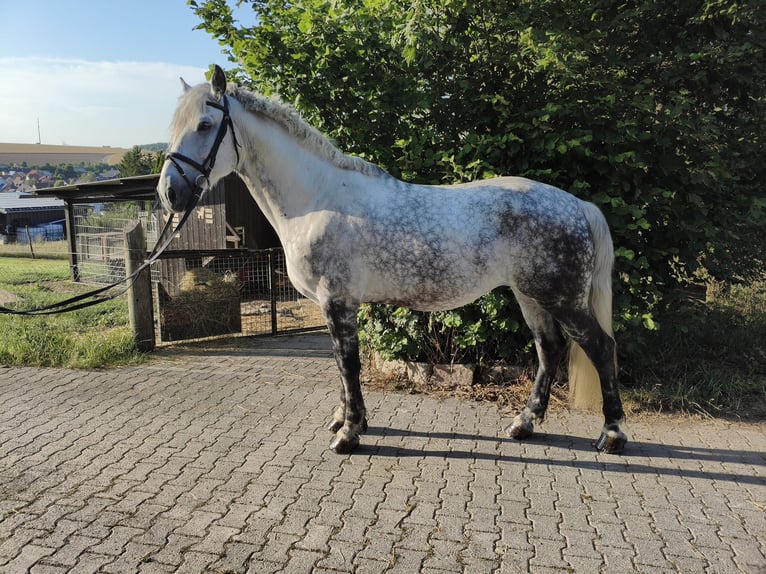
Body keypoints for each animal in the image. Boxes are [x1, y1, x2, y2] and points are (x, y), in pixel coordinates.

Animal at [158, 65, 628, 455]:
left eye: (205, 124)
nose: (170, 194)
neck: (317, 200)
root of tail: (576, 205)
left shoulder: (337, 302)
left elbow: (348, 364)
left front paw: (349, 433)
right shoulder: (333, 305)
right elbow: (339, 364)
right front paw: (344, 420)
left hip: (561, 299)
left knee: (602, 347)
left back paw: (611, 435)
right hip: (530, 296)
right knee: (549, 350)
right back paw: (523, 425)